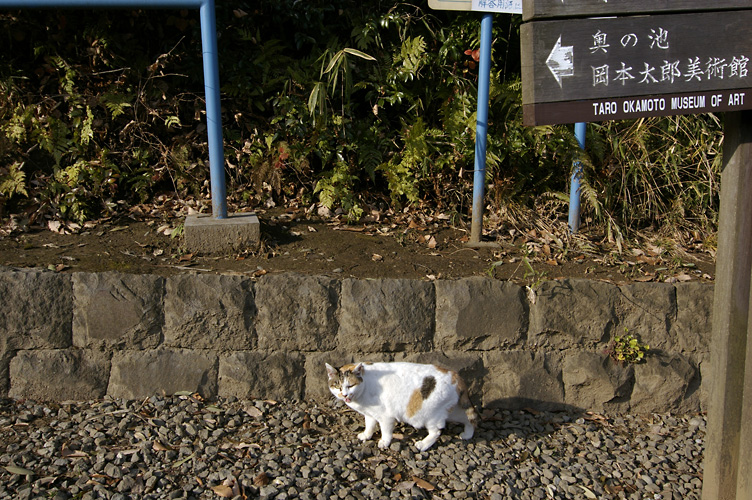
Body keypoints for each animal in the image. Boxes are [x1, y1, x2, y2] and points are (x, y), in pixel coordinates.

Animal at [324, 362, 478, 452]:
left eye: (350, 385)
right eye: (337, 386)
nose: (344, 394)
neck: (365, 384)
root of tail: (455, 375)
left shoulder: (385, 416)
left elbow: (385, 431)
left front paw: (384, 442)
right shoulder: (370, 414)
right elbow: (370, 425)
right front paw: (366, 435)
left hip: (429, 416)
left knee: (437, 431)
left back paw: (423, 444)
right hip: (452, 410)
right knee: (469, 419)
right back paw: (467, 434)